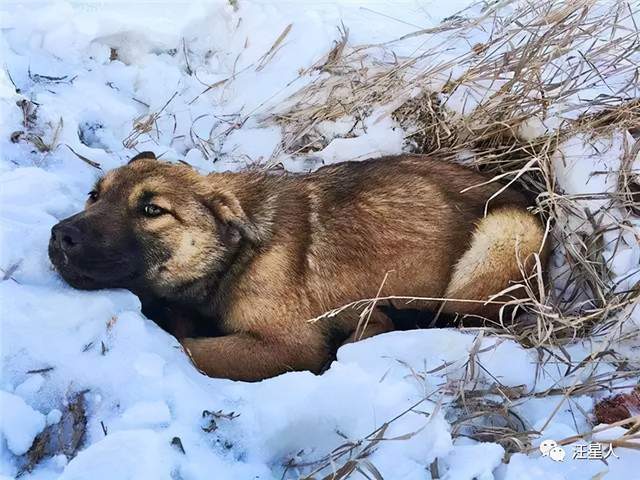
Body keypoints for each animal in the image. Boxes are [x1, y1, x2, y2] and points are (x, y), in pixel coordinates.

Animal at [50, 152, 548, 380]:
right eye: (94, 195)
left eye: (152, 210)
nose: (59, 236)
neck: (236, 255)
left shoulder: (289, 345)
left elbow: (188, 347)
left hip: (506, 232)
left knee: (459, 319)